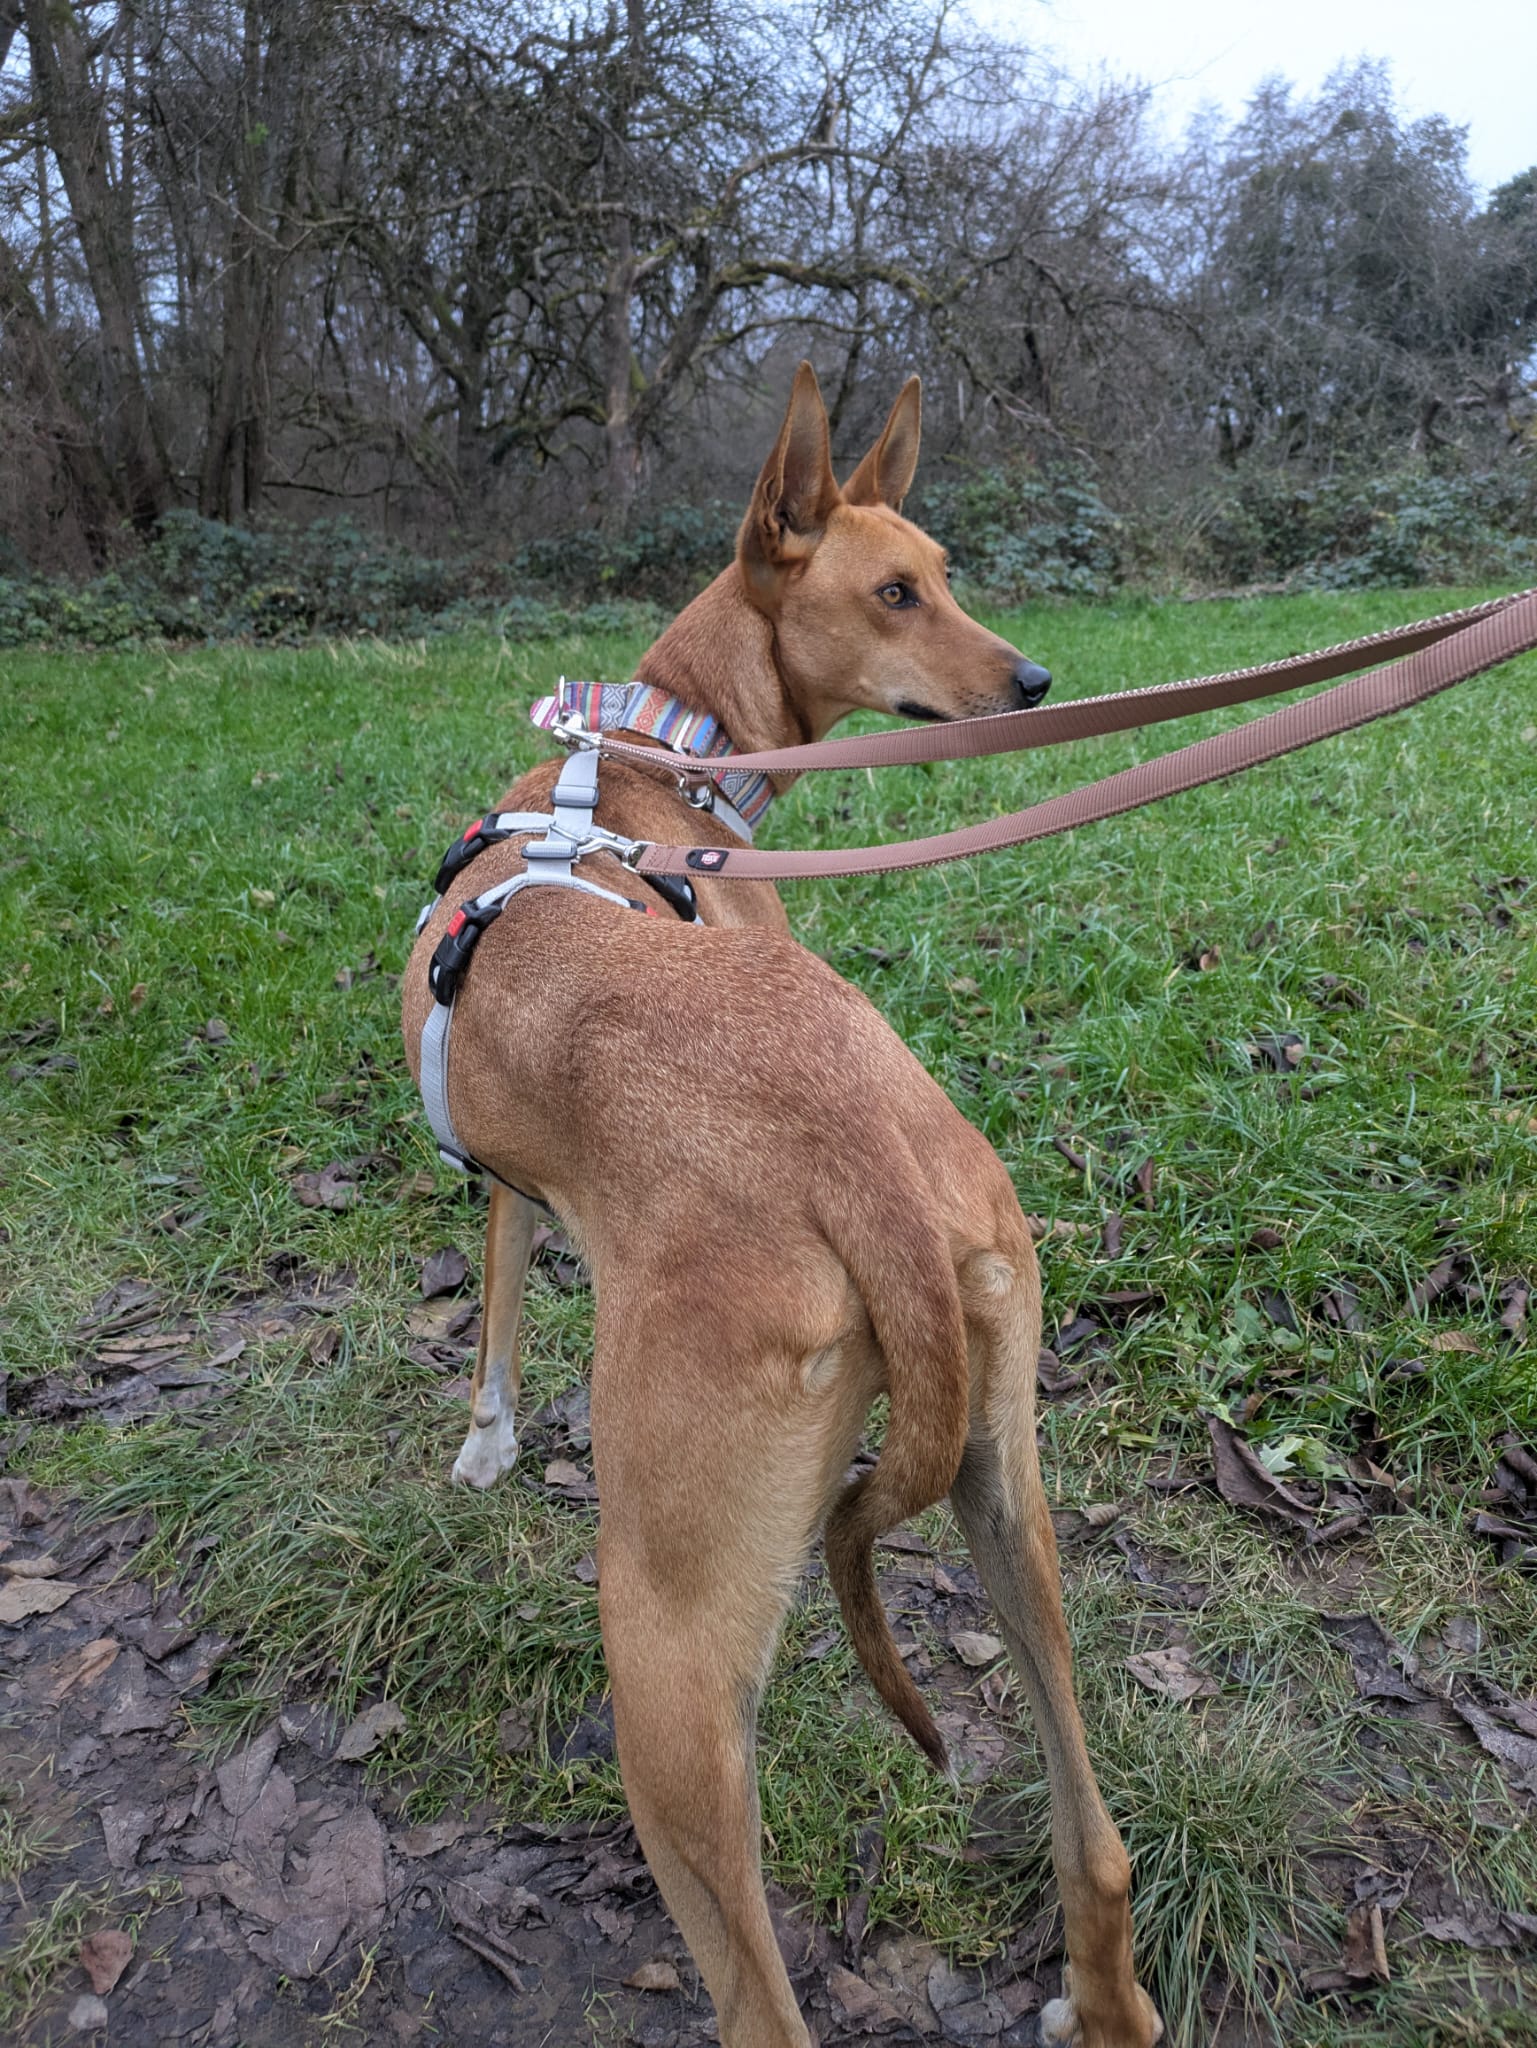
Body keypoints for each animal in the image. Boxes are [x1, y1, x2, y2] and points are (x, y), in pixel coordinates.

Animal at [402, 365, 1163, 2048]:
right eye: (899, 587)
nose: (1034, 680)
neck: (644, 763)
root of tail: (860, 1163)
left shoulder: (499, 1172)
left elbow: (495, 1275)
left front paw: (485, 1438)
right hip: (1007, 1493)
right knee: (1099, 1845)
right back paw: (1103, 1997)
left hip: (669, 1660)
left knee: (757, 1999)